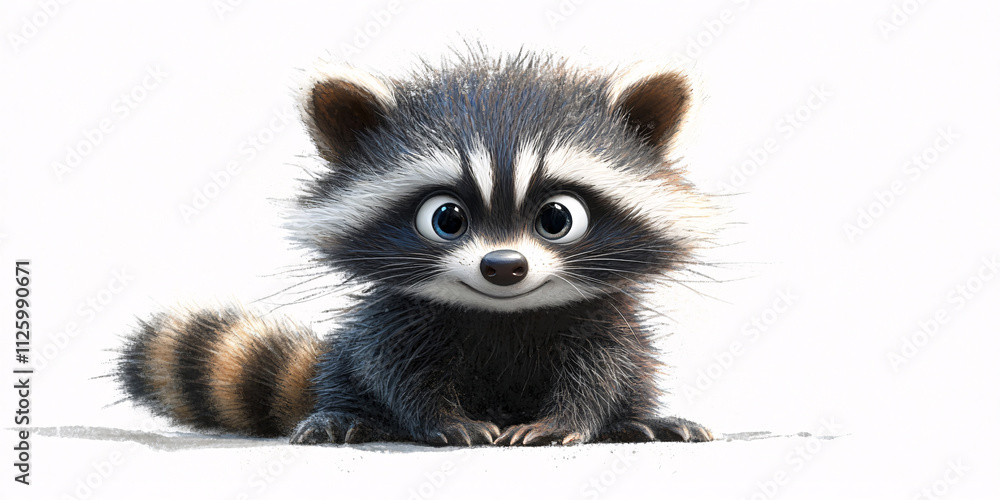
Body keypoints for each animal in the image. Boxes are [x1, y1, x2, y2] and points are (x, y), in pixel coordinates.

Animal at [117, 48, 718, 446]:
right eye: (446, 218)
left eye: (557, 217)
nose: (504, 267)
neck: (502, 314)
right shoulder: (398, 319)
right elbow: (395, 370)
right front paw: (444, 419)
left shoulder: (600, 316)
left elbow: (605, 369)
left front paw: (569, 420)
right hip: (339, 372)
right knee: (349, 378)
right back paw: (345, 416)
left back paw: (639, 419)